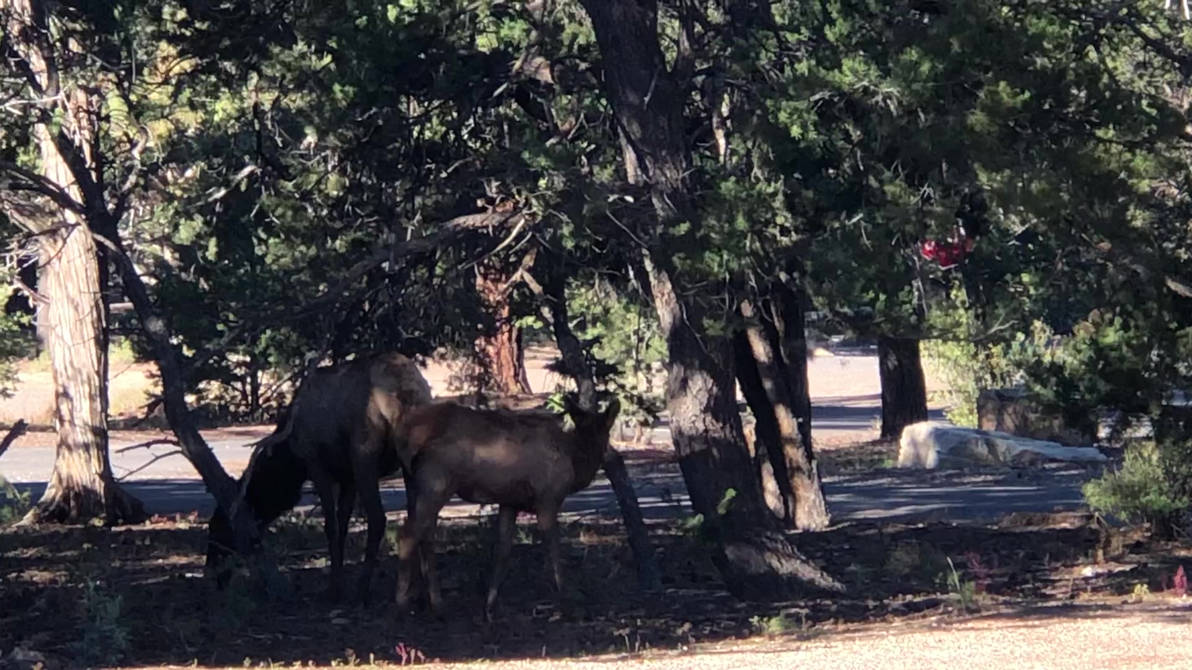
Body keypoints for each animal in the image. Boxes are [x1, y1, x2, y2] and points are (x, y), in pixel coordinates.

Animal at [393, 394, 620, 619]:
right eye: (607, 432)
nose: (609, 454)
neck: (575, 459)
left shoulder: (510, 503)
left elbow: (502, 551)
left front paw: (489, 605)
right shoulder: (548, 499)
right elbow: (554, 549)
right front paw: (565, 594)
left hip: (417, 486)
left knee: (424, 535)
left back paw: (436, 602)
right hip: (436, 485)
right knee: (408, 534)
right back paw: (402, 601)